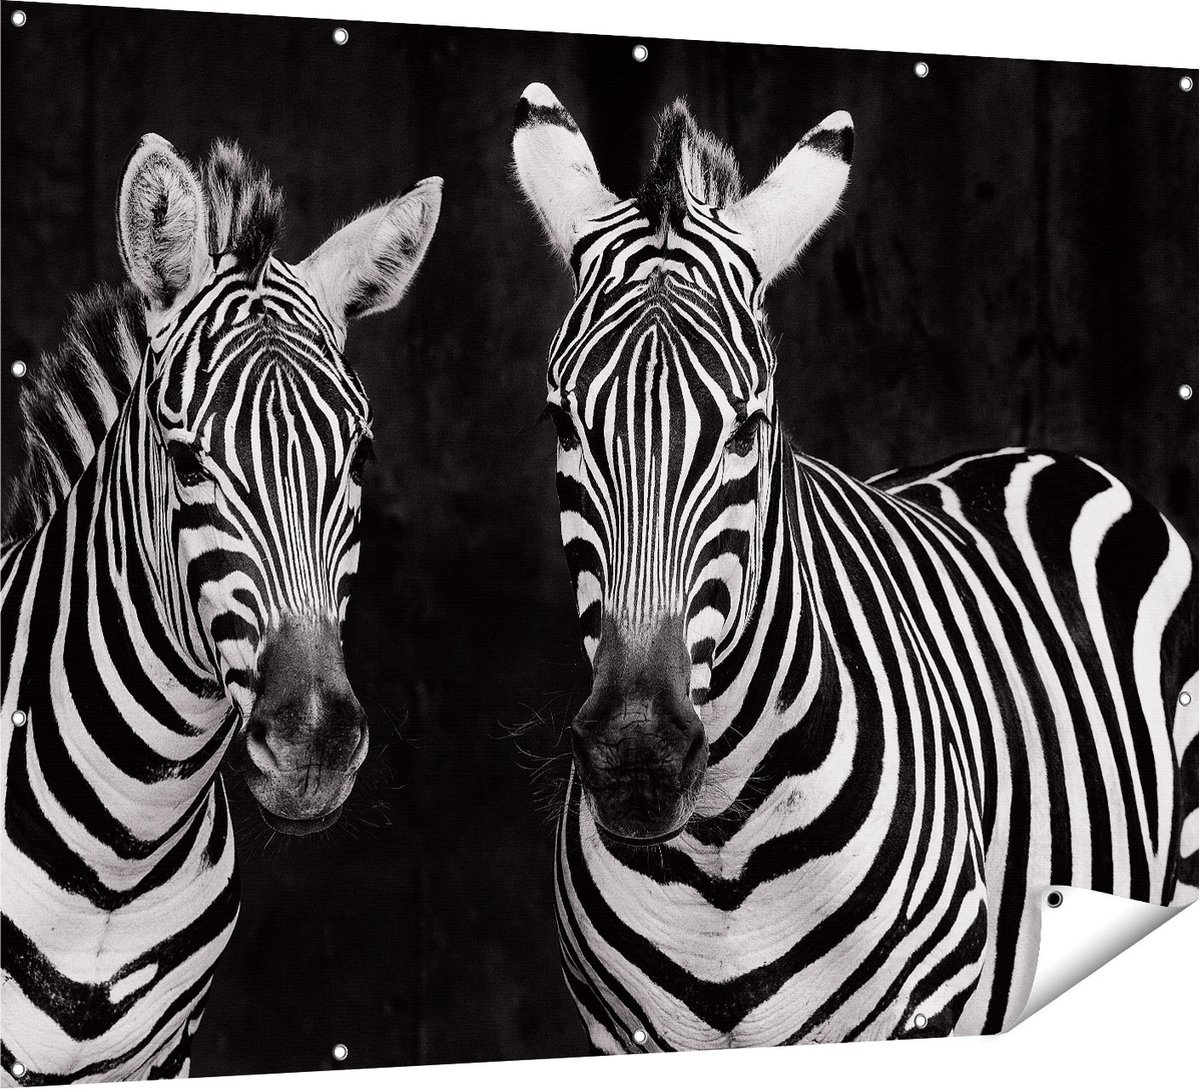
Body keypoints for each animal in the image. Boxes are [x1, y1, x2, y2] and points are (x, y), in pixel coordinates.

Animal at [511, 83, 1197, 1051]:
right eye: (562, 423)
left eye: (748, 427)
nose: (637, 758)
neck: (721, 851)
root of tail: (1031, 454)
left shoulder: (928, 1009)